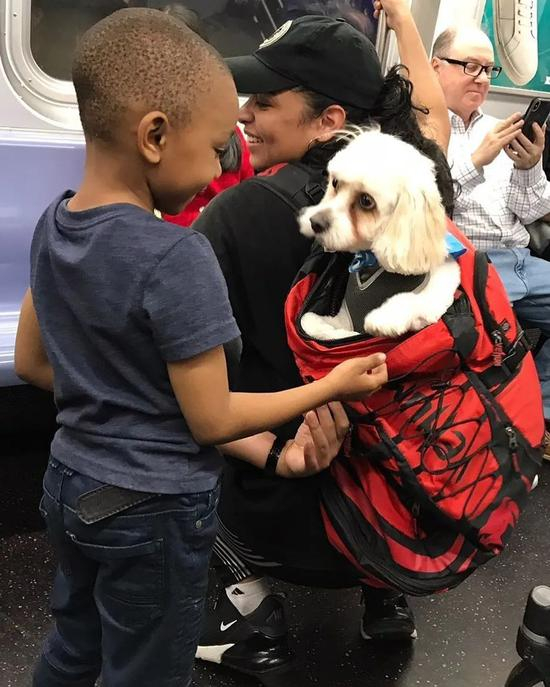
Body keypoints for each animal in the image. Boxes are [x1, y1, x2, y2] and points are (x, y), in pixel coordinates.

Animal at [298, 128, 461, 340]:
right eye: (335, 183)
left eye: (366, 201)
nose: (315, 223)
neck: (372, 262)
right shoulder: (344, 317)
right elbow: (311, 322)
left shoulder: (439, 289)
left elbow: (410, 300)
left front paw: (384, 320)